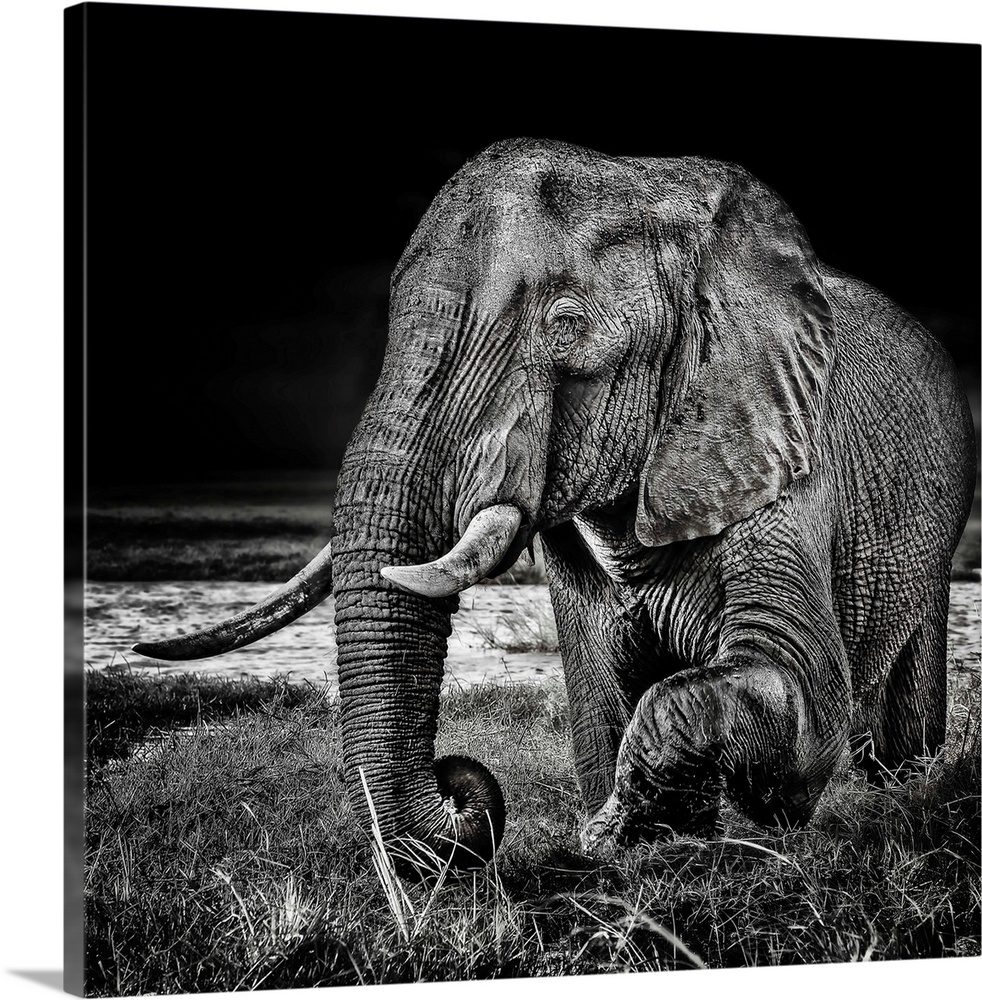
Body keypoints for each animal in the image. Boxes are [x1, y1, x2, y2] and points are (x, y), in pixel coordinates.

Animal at [135, 139, 980, 868]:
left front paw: (615, 834)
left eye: (567, 324)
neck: (654, 186)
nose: (460, 787)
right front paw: (654, 837)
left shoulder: (780, 445)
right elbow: (600, 695)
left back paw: (901, 787)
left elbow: (803, 690)